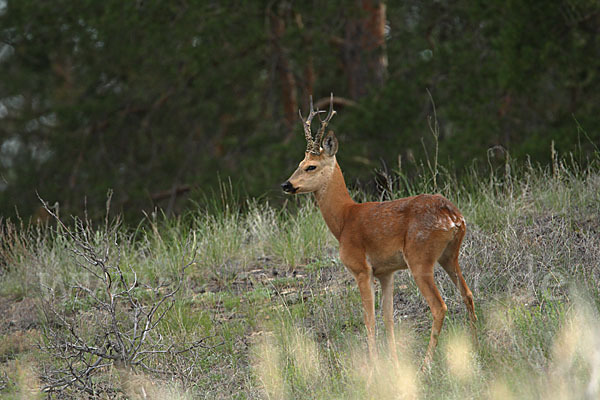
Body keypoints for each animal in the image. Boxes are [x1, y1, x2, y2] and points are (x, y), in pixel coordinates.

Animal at [282, 94, 478, 368]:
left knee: (439, 306)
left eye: (311, 166)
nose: (286, 184)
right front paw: (394, 363)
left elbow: (370, 319)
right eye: (299, 163)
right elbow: (388, 317)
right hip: (450, 255)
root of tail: (453, 216)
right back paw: (477, 349)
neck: (344, 219)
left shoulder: (361, 269)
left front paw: (374, 365)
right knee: (467, 294)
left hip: (420, 257)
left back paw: (426, 363)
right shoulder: (387, 272)